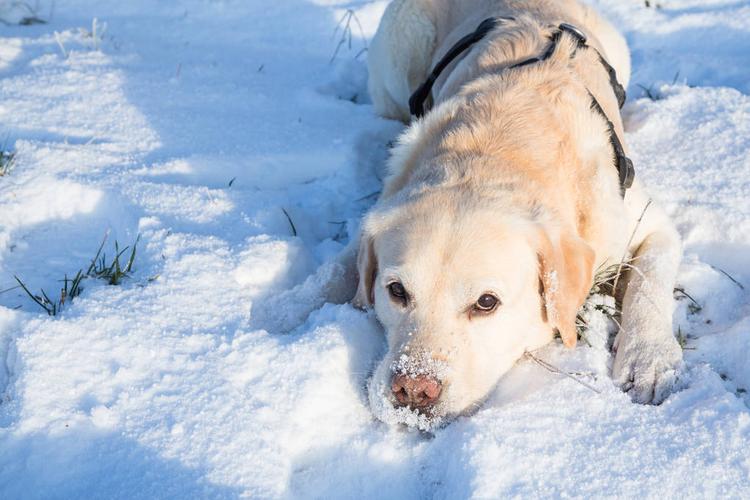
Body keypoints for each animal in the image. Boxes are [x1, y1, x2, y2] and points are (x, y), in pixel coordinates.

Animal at [360, 0, 688, 430]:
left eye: (486, 303)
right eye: (396, 291)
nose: (413, 390)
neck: (497, 149)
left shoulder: (648, 223)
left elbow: (649, 282)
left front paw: (649, 359)